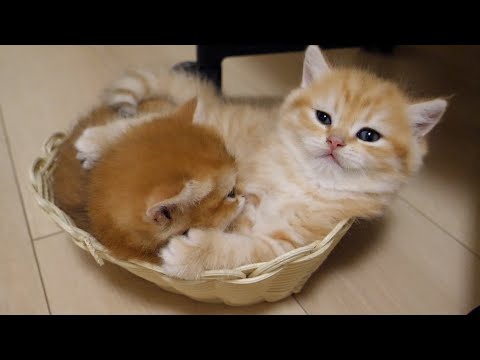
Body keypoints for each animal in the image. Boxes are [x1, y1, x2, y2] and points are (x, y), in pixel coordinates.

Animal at [75, 45, 446, 282]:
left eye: (369, 135)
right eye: (323, 117)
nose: (335, 141)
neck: (305, 182)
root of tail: (218, 102)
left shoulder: (289, 243)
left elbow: (245, 250)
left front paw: (191, 254)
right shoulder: (249, 190)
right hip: (210, 124)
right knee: (149, 124)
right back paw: (93, 141)